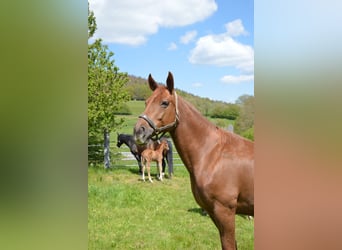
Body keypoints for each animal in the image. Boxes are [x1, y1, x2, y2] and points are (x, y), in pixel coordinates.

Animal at [134, 71, 254, 249]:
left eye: (164, 103)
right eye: (146, 102)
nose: (138, 131)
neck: (213, 154)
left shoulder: (225, 212)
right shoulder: (213, 212)